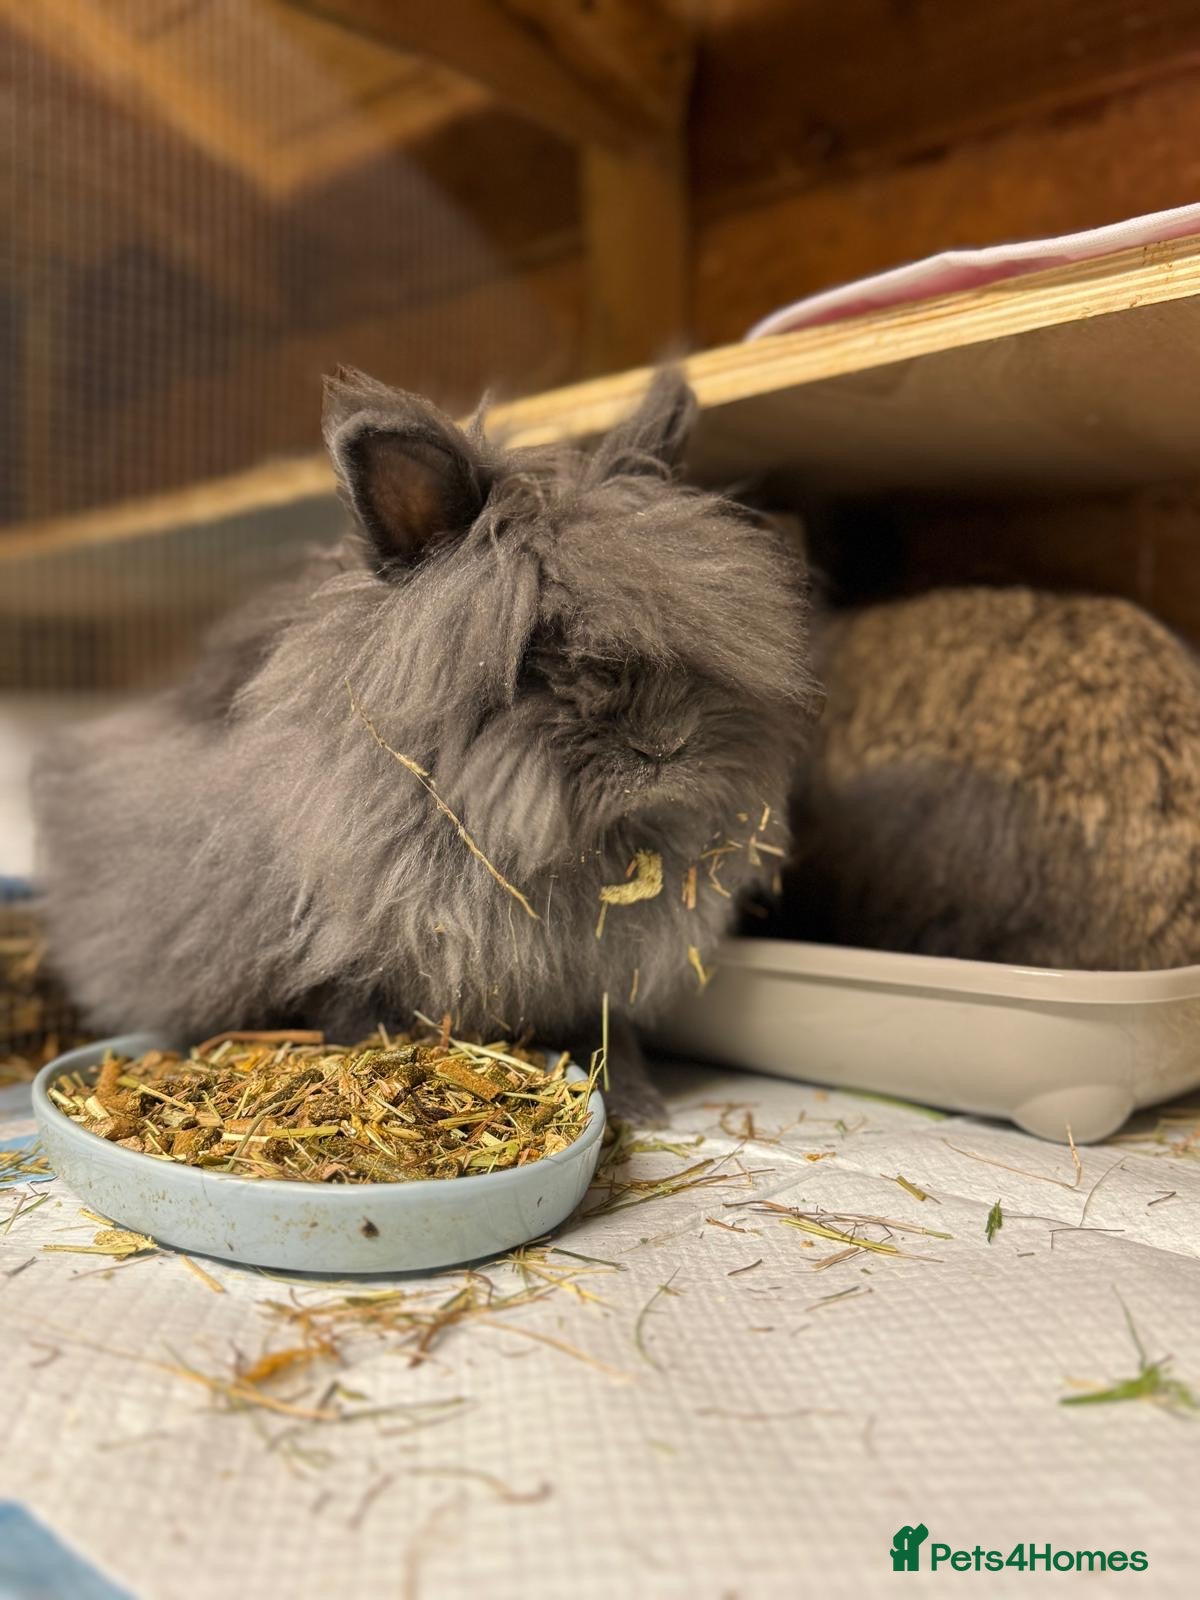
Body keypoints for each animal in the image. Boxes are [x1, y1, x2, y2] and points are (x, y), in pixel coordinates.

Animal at [33, 368, 819, 1123]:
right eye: (534, 655)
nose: (665, 746)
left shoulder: (588, 978)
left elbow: (606, 1033)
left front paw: (638, 1106)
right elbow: (350, 1005)